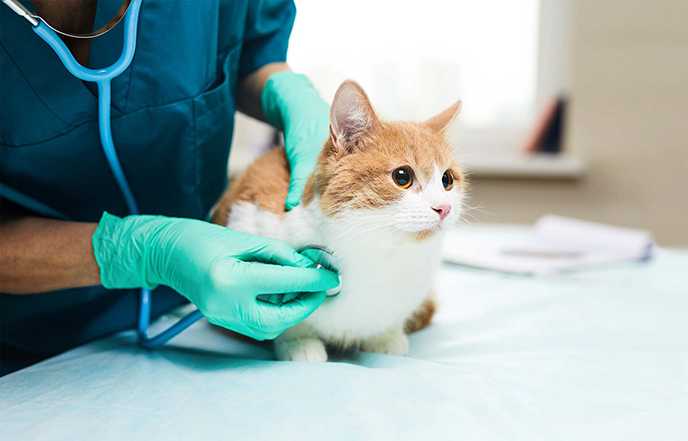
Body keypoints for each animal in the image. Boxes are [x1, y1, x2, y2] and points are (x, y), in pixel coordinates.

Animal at [211, 80, 468, 360]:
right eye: (402, 177)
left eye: (447, 180)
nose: (444, 207)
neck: (377, 252)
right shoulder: (251, 217)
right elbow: (286, 320)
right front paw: (299, 342)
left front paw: (385, 336)